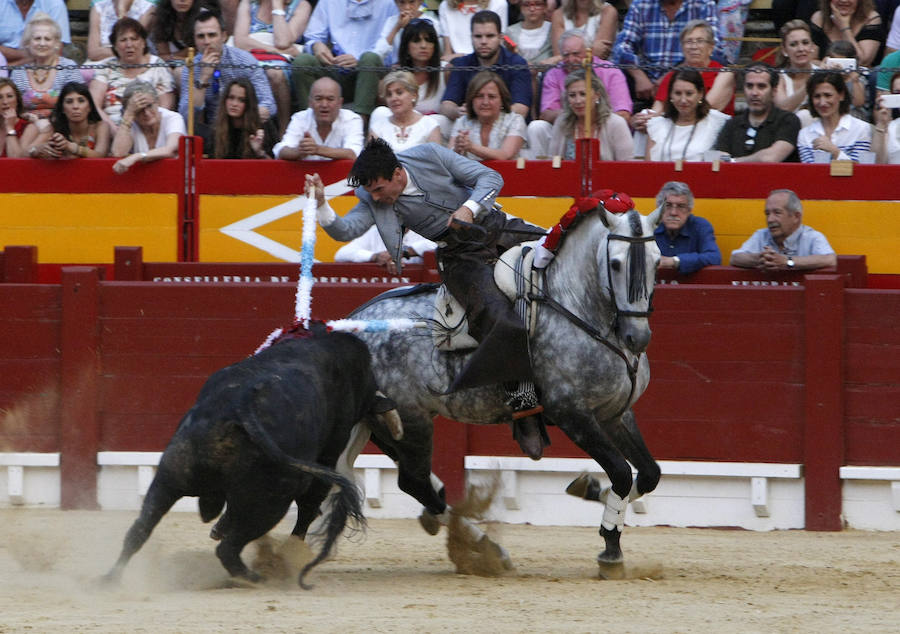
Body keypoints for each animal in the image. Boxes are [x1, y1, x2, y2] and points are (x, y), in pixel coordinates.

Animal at [103, 328, 398, 584]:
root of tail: (240, 406)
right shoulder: (328, 454)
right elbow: (308, 507)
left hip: (171, 475)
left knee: (140, 530)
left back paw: (109, 579)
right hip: (270, 500)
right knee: (229, 548)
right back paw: (256, 578)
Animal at [350, 196, 660, 564]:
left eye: (657, 260)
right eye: (615, 263)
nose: (637, 337)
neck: (576, 306)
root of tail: (348, 326)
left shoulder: (615, 414)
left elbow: (648, 473)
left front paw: (592, 490)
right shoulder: (572, 413)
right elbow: (622, 472)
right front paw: (610, 548)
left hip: (385, 428)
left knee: (418, 482)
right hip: (412, 421)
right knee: (414, 481)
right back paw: (484, 546)